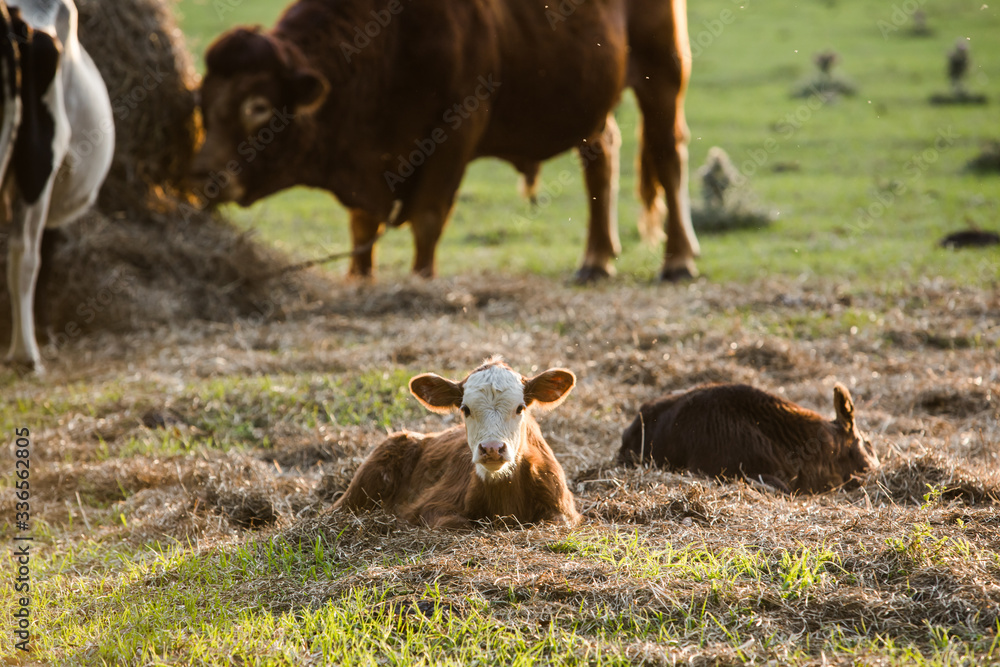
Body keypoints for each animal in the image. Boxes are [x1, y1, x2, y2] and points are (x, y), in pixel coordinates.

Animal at [193, 0, 700, 283]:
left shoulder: (456, 130)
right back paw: (595, 259)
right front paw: (359, 276)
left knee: (667, 156)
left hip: (663, 73)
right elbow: (362, 225)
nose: (204, 176)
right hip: (592, 99)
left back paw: (678, 261)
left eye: (257, 106)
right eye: (202, 100)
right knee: (602, 155)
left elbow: (428, 217)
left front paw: (422, 278)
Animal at [334, 357, 581, 528]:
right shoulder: (431, 505)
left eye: (520, 407)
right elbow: (456, 523)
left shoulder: (565, 511)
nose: (492, 448)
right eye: (466, 409)